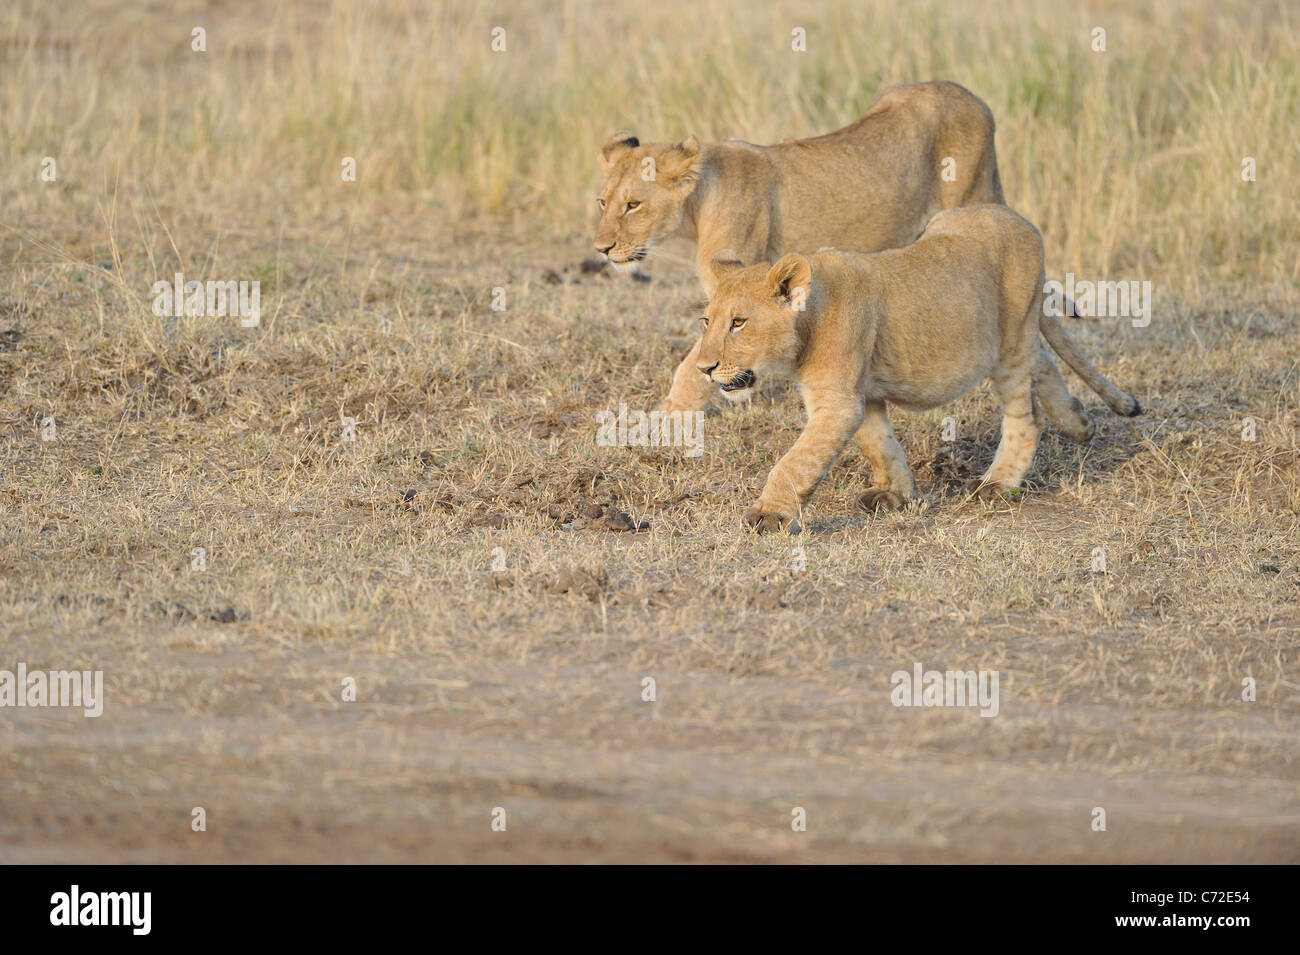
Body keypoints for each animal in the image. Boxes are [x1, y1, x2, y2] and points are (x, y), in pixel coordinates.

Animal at [593, 80, 1005, 413]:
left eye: (633, 205)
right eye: (602, 202)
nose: (601, 249)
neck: (697, 204)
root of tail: (975, 99)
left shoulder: (734, 290)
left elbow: (693, 368)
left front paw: (666, 421)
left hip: (970, 196)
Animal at [693, 204, 1141, 533]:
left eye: (739, 323)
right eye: (706, 322)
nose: (704, 368)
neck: (808, 320)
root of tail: (1019, 217)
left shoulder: (838, 402)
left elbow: (796, 461)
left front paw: (769, 514)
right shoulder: (863, 392)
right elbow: (880, 443)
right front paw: (896, 495)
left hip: (1011, 338)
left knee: (1026, 412)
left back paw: (997, 483)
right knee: (1044, 361)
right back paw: (1078, 422)